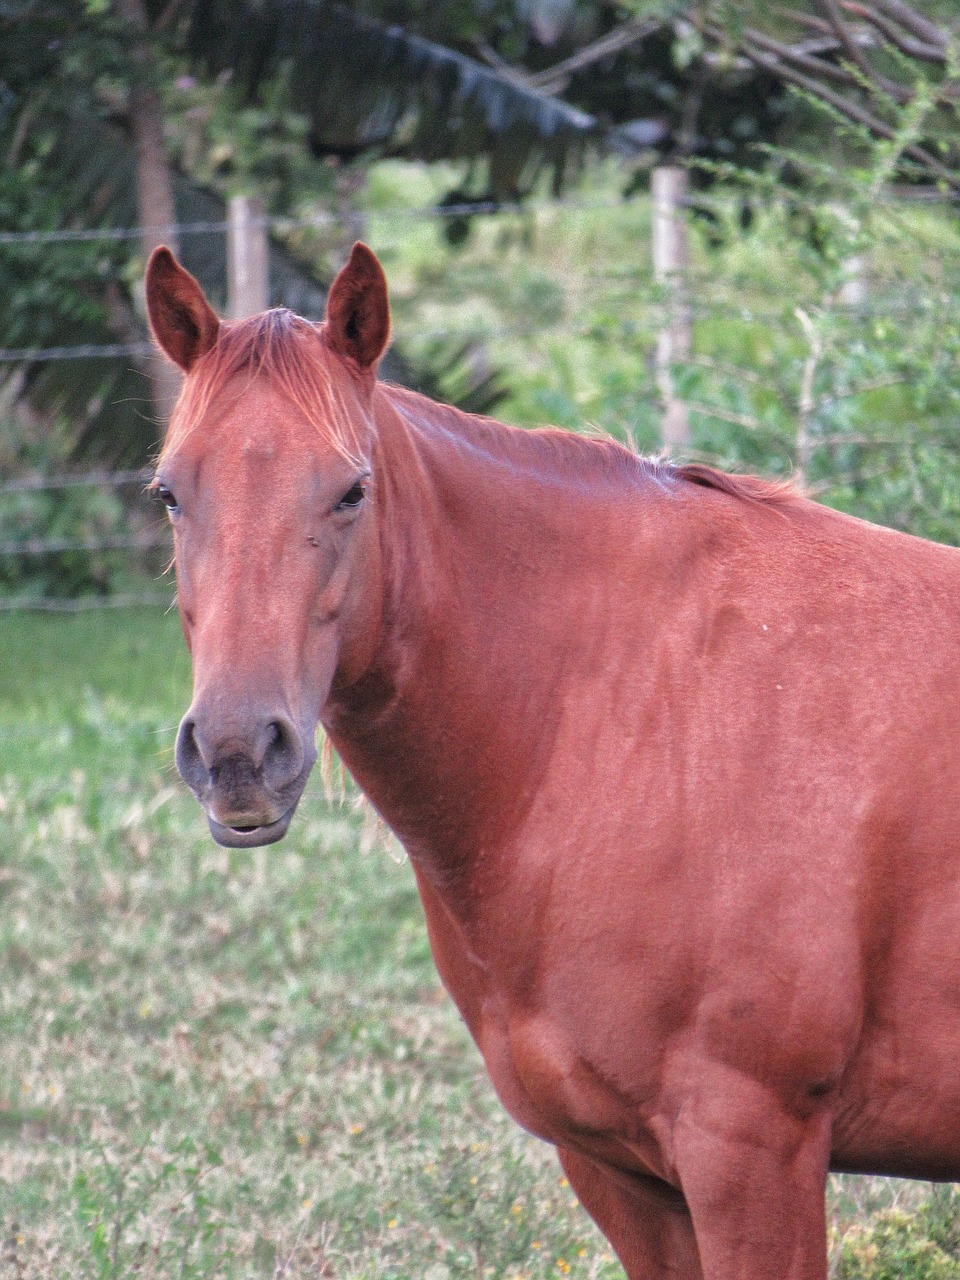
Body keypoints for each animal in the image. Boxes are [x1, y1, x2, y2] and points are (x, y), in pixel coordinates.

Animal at [142, 241, 960, 1280]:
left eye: (352, 489)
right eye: (171, 492)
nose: (239, 752)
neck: (634, 707)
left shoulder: (752, 1151)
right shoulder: (620, 1170)